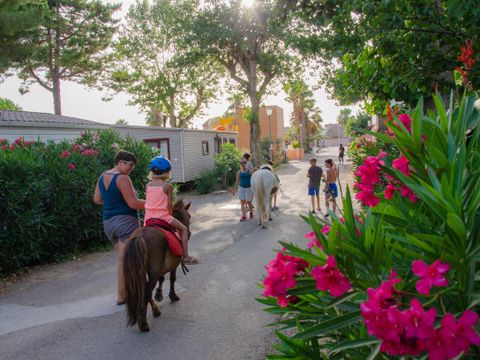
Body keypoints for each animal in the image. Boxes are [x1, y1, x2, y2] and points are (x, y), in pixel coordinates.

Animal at [124, 200, 191, 332]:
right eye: (189, 216)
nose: (189, 233)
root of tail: (139, 237)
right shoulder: (173, 265)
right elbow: (172, 279)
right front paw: (172, 296)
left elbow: (162, 279)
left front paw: (159, 294)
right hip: (152, 272)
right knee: (146, 293)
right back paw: (143, 324)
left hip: (141, 272)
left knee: (145, 291)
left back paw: (154, 311)